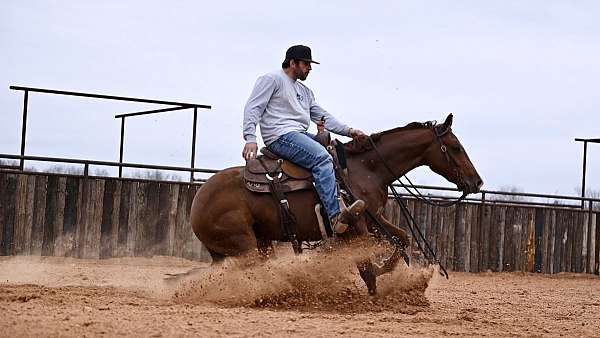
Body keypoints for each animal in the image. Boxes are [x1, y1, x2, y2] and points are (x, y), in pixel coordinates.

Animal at [190, 115, 480, 294]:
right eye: (455, 147)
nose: (477, 182)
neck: (366, 169)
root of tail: (197, 204)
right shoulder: (358, 223)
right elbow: (366, 267)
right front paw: (375, 292)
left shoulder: (374, 217)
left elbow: (402, 238)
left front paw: (385, 268)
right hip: (244, 245)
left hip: (259, 242)